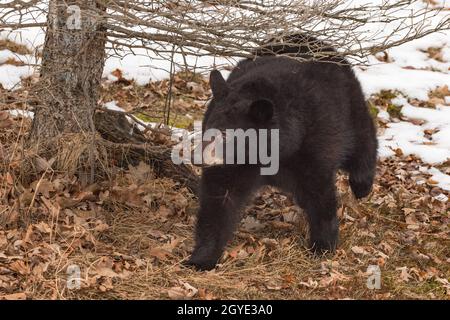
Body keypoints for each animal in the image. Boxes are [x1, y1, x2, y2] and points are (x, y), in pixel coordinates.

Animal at [185, 34, 378, 270]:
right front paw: (201, 258)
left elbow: (319, 194)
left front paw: (322, 246)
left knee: (362, 138)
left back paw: (362, 185)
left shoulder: (310, 147)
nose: (196, 158)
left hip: (348, 103)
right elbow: (219, 200)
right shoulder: (233, 166)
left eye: (225, 135)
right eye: (207, 127)